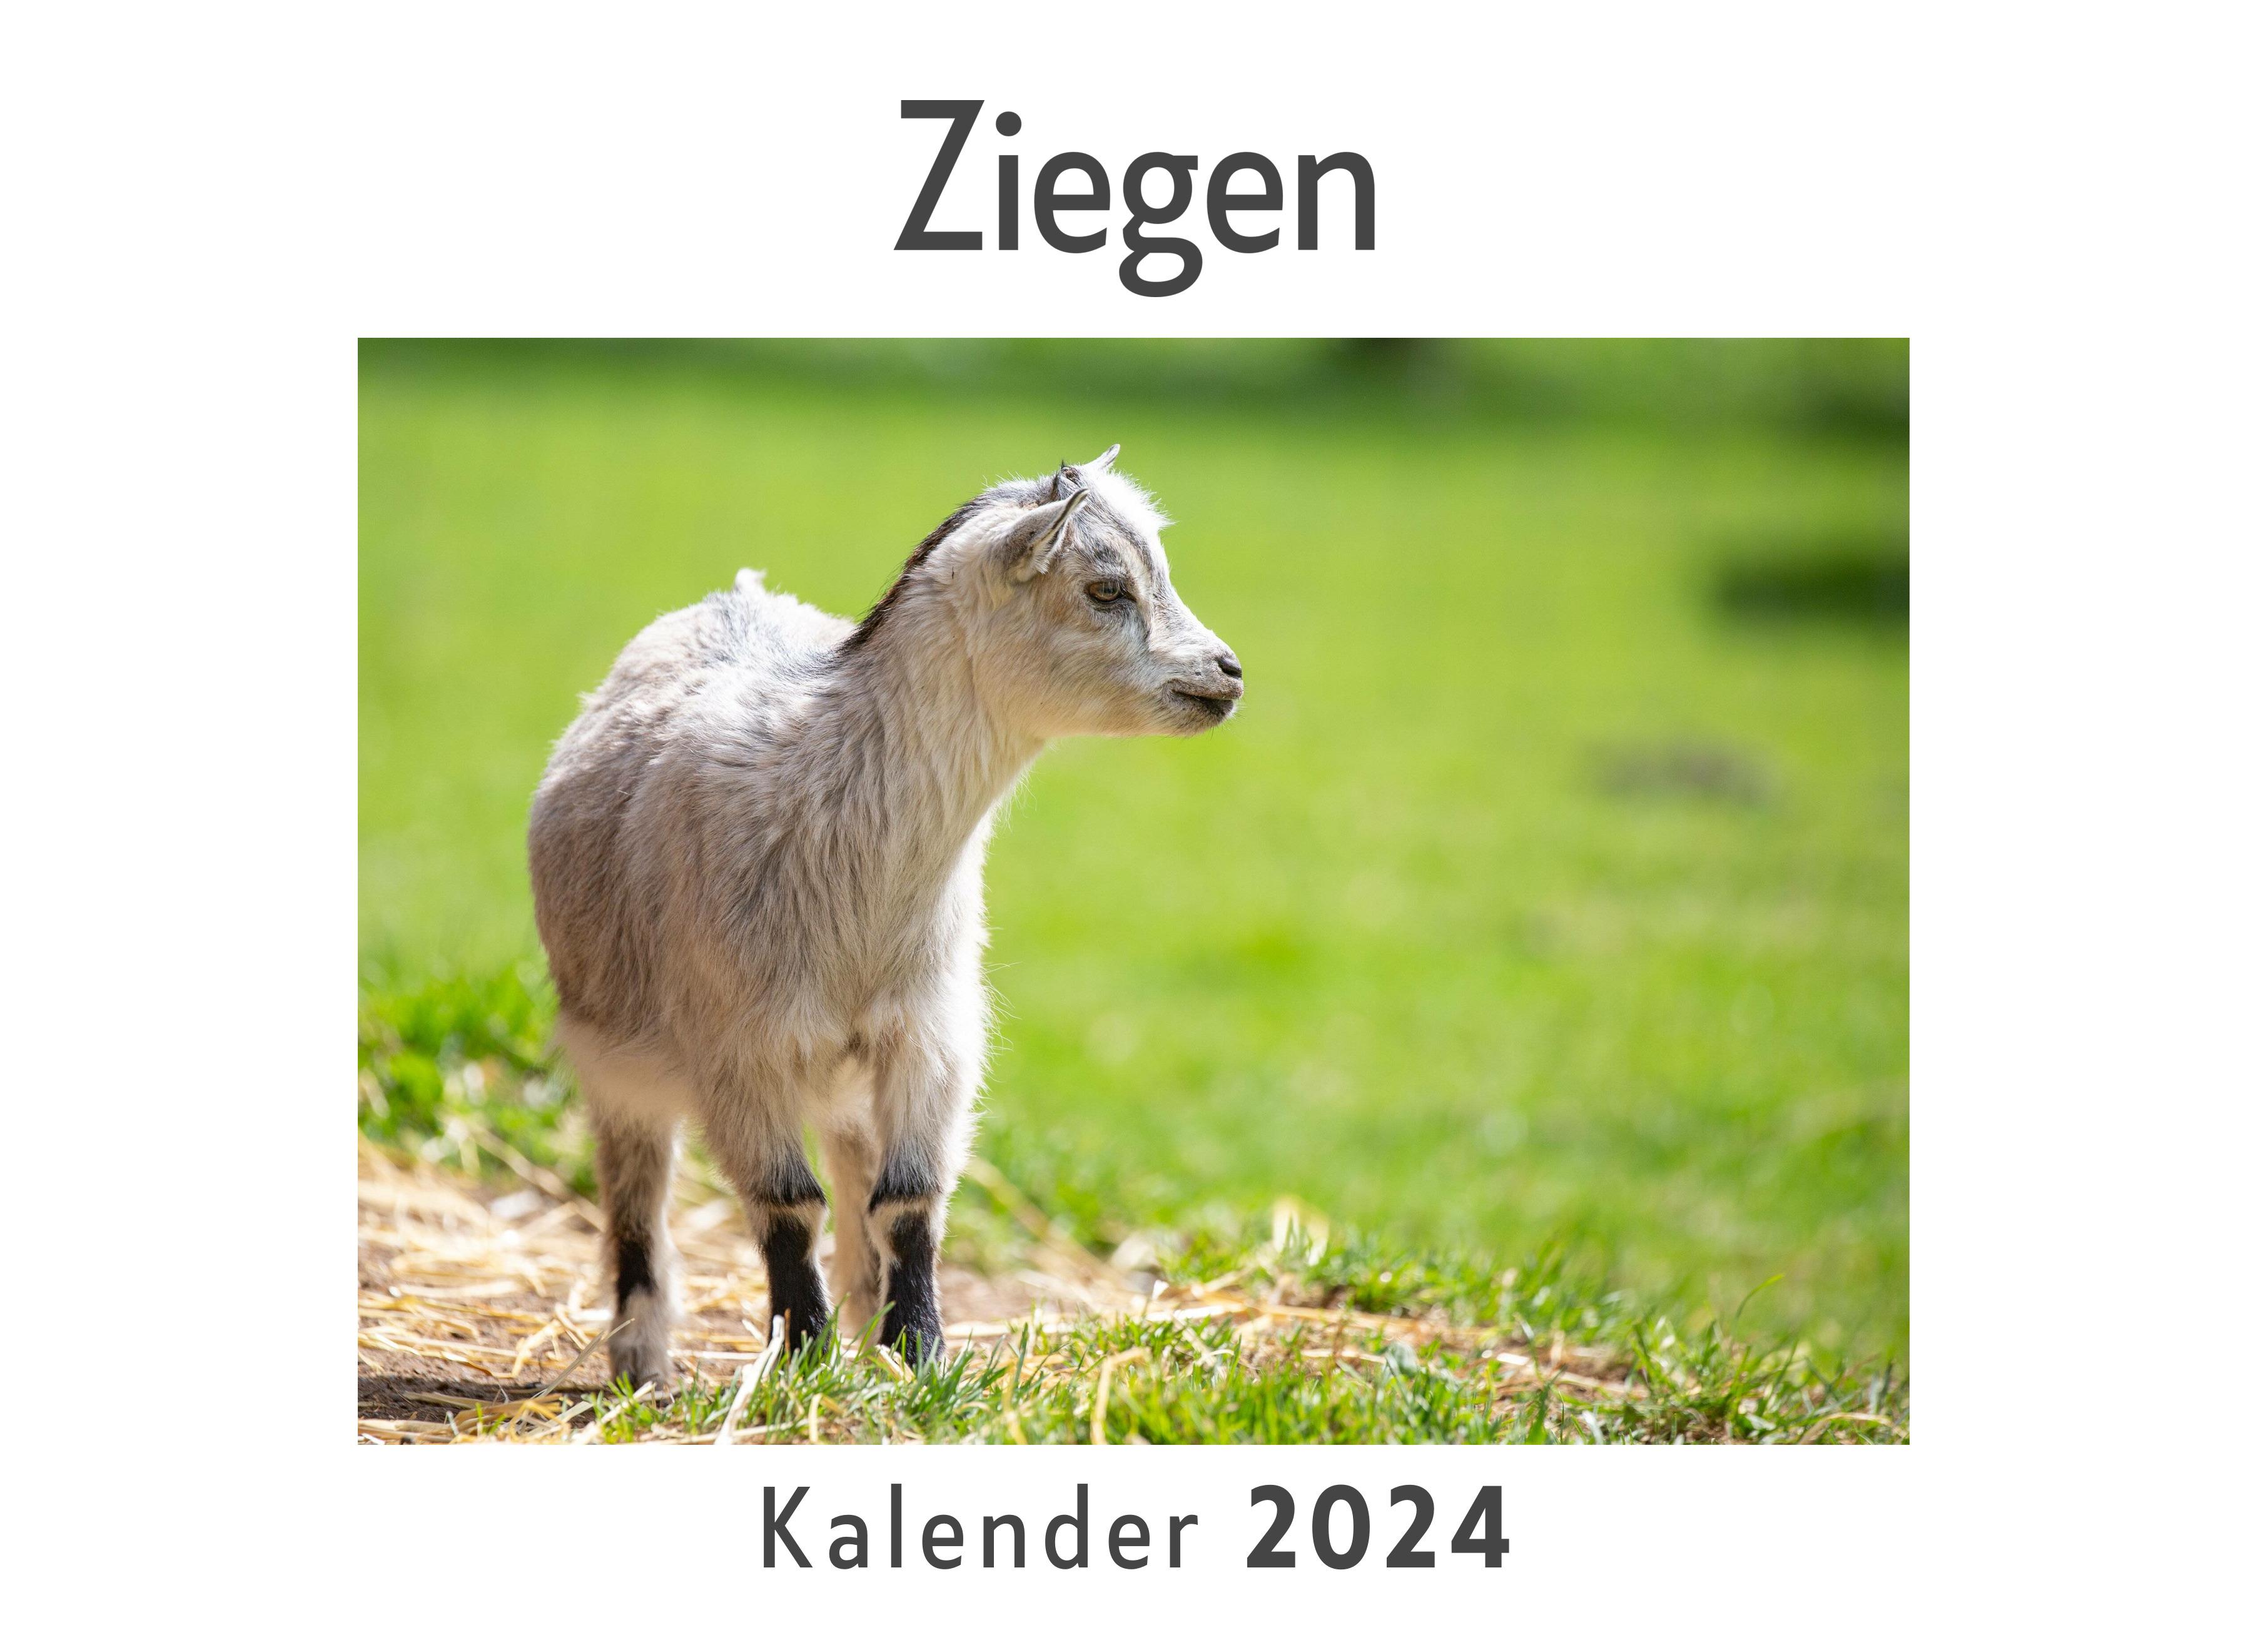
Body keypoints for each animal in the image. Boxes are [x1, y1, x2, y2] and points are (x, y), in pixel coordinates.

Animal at [528, 446, 1242, 1386]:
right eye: (1105, 588)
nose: (1227, 673)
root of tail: (734, 594)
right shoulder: (739, 1049)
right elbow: (786, 1205)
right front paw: (801, 1356)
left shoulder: (929, 1035)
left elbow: (906, 1201)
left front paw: (921, 1358)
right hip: (615, 1054)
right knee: (638, 1199)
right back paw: (642, 1363)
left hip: (842, 1070)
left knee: (852, 1170)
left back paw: (865, 1327)